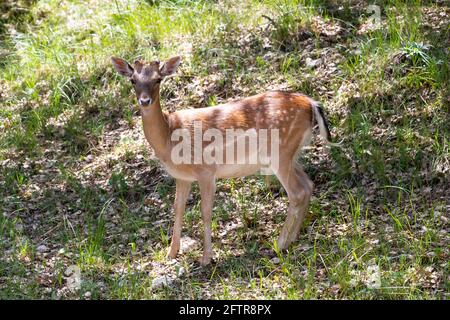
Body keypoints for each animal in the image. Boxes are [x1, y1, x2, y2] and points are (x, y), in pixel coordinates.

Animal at [110, 55, 332, 264]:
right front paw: (171, 253)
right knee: (308, 184)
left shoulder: (206, 171)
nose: (144, 101)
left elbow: (205, 211)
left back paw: (279, 243)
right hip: (291, 154)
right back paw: (292, 238)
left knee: (297, 192)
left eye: (158, 79)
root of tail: (312, 104)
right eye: (132, 80)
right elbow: (178, 209)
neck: (169, 136)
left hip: (280, 151)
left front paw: (206, 258)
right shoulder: (182, 177)